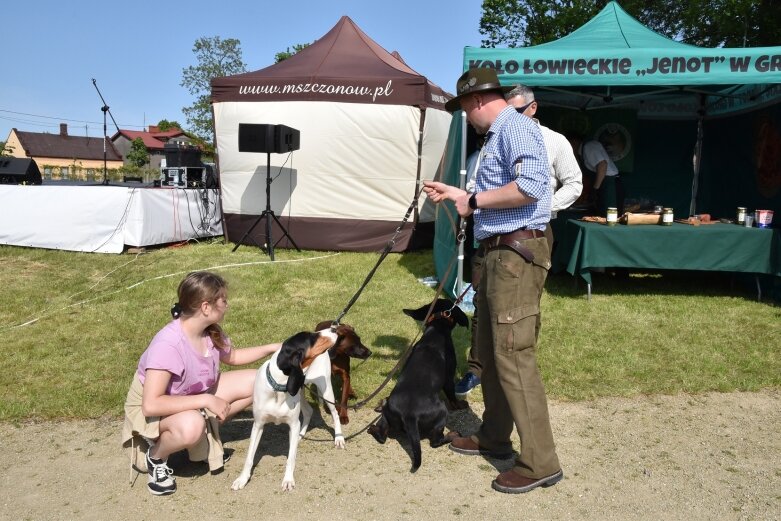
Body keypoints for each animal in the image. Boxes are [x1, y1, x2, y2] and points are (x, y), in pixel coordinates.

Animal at [229, 330, 344, 492]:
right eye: (312, 337)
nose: (334, 328)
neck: (278, 387)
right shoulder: (258, 425)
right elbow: (249, 456)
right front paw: (242, 479)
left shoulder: (293, 424)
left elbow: (291, 458)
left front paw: (288, 480)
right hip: (301, 390)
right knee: (308, 411)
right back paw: (301, 434)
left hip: (325, 389)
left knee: (335, 413)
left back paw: (339, 438)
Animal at [368, 296, 470, 472]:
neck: (437, 329)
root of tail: (410, 416)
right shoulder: (449, 378)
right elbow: (452, 396)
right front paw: (460, 404)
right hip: (442, 413)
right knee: (435, 442)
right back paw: (453, 435)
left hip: (387, 416)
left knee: (382, 436)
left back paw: (373, 425)